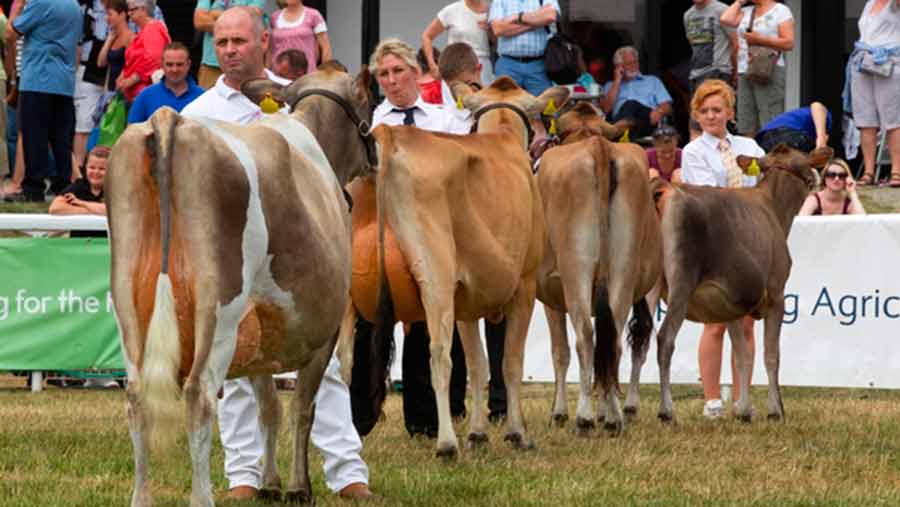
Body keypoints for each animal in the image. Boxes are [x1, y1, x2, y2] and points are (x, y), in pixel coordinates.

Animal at [356, 76, 568, 460]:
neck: (501, 133)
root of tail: (392, 136)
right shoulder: (525, 284)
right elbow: (510, 361)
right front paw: (517, 433)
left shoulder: (466, 299)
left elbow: (478, 364)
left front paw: (479, 433)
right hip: (435, 274)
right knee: (438, 355)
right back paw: (446, 444)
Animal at [536, 102, 660, 436]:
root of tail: (598, 147)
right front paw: (604, 410)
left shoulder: (551, 294)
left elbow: (559, 352)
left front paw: (559, 413)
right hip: (624, 267)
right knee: (613, 337)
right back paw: (614, 418)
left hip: (574, 268)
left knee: (585, 336)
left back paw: (584, 418)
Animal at [644, 146, 832, 424]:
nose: (820, 179)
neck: (773, 208)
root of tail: (666, 187)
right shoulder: (777, 294)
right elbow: (770, 355)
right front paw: (775, 410)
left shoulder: (729, 304)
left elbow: (742, 355)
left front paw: (742, 410)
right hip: (681, 282)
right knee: (664, 339)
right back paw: (666, 412)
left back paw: (626, 410)